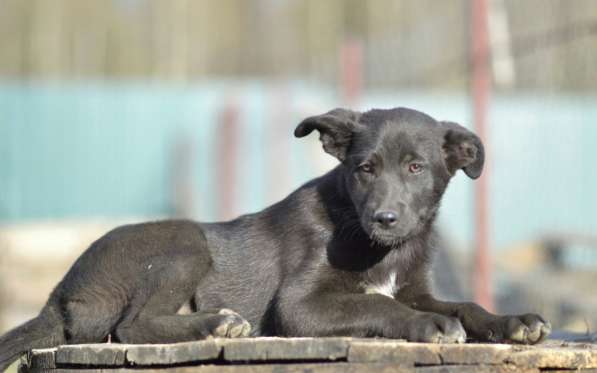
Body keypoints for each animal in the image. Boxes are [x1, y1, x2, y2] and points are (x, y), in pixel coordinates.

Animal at [0, 107, 548, 370]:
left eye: (416, 168)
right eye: (364, 169)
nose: (385, 218)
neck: (380, 248)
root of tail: (58, 295)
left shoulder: (417, 288)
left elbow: (462, 305)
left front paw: (513, 322)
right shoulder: (297, 306)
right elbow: (379, 303)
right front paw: (428, 326)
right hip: (185, 242)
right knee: (132, 326)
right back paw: (218, 323)